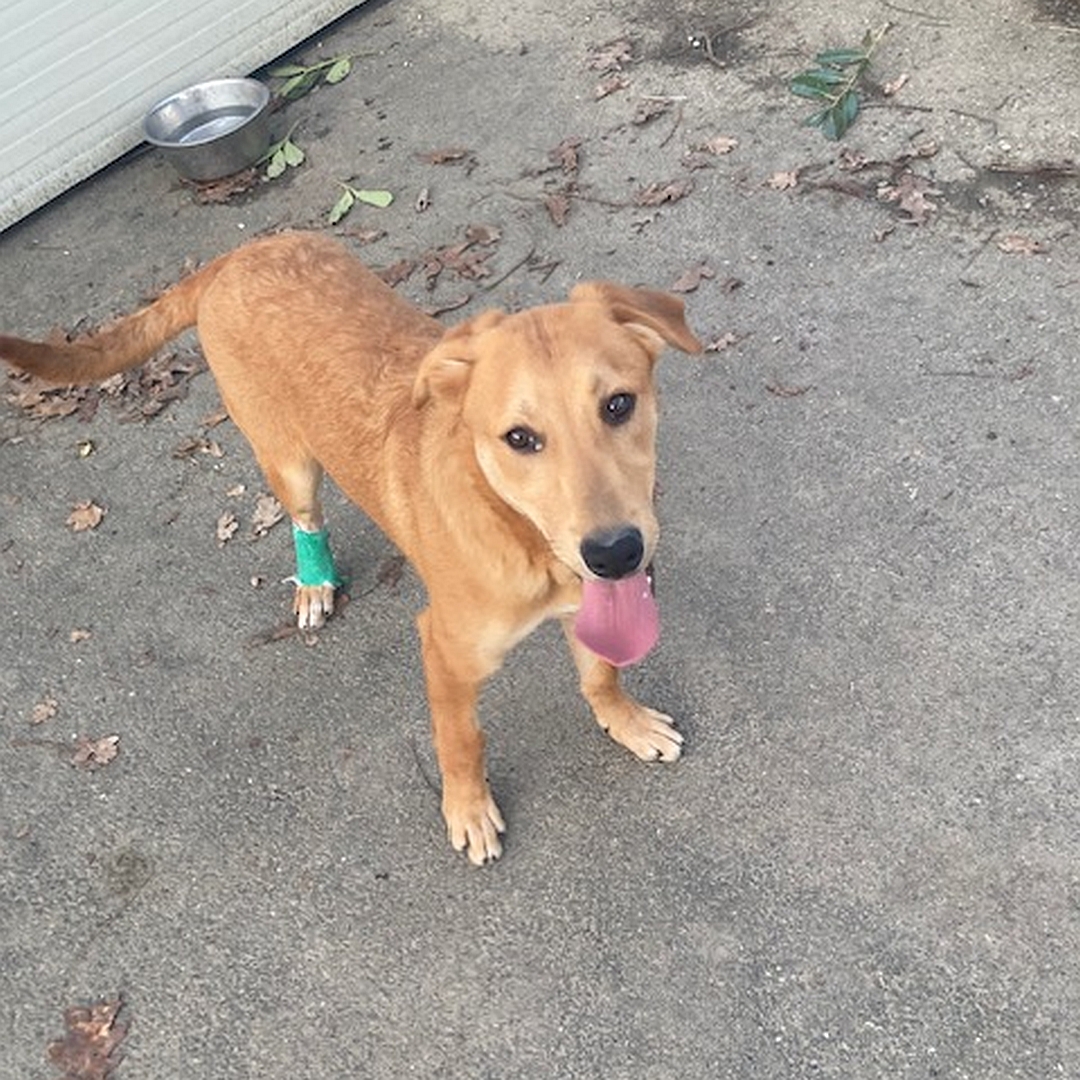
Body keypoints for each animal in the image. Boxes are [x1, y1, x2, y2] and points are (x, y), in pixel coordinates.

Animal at [0, 232, 704, 864]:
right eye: (520, 438)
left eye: (619, 404)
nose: (615, 552)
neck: (520, 534)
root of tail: (236, 255)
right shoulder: (446, 651)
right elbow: (461, 742)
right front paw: (468, 809)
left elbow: (602, 671)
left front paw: (625, 720)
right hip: (287, 459)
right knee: (304, 518)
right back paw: (314, 583)